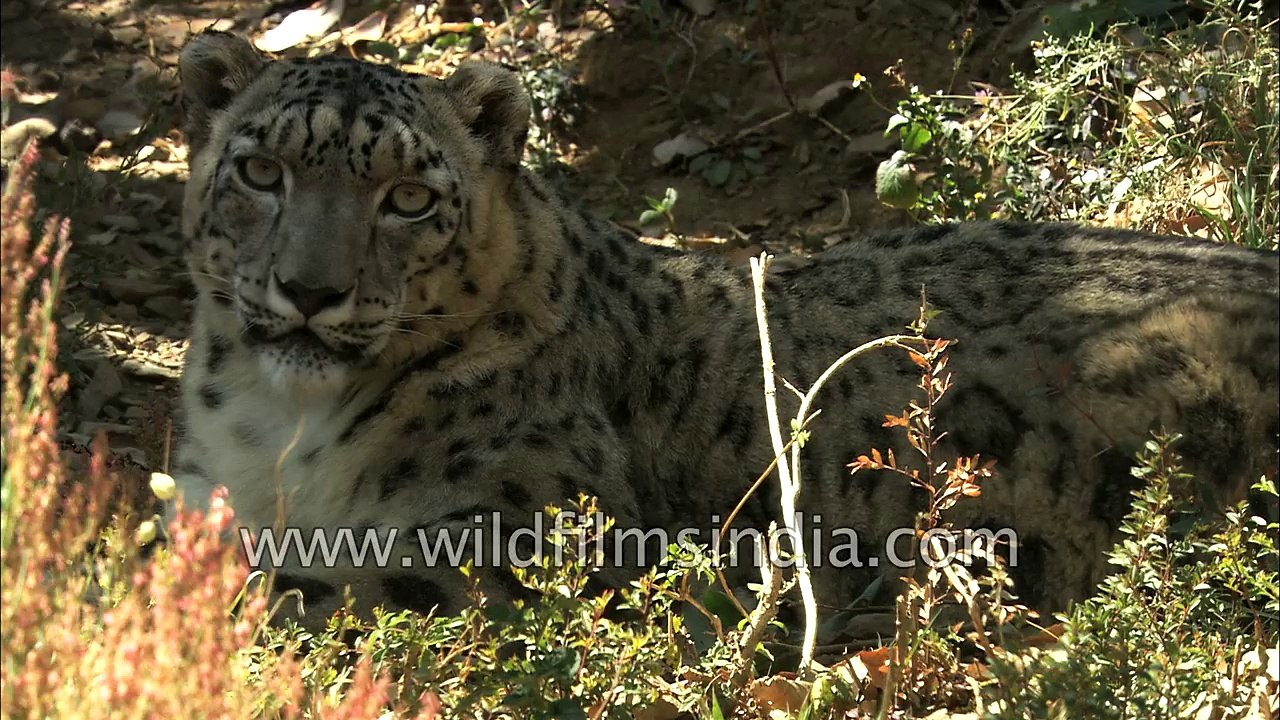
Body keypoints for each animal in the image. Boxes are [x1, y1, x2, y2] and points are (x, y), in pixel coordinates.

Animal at [169, 30, 1279, 631]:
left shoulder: (498, 544)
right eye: (261, 172)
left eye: (406, 197)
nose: (309, 291)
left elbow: (308, 602)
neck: (283, 428)